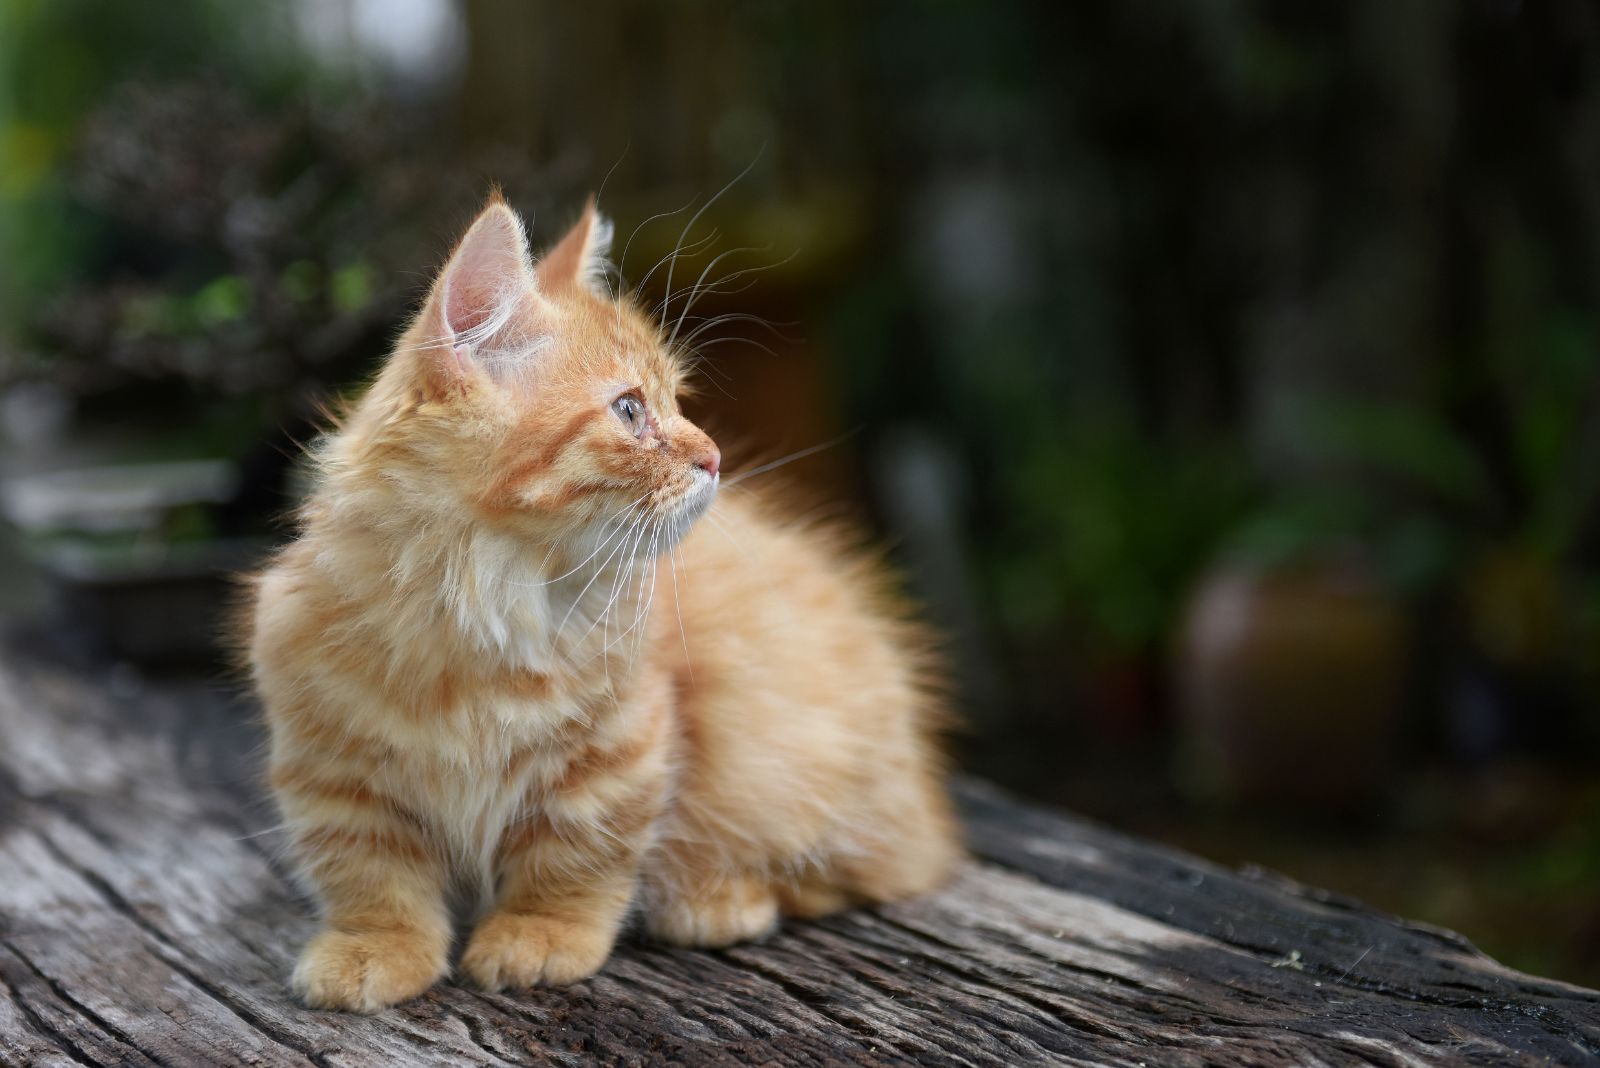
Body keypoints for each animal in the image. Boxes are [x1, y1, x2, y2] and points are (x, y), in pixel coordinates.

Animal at [243, 191, 953, 1010]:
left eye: (677, 402)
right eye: (629, 410)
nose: (714, 457)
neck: (483, 605)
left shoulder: (619, 748)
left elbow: (576, 854)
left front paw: (540, 933)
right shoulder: (330, 765)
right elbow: (370, 873)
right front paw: (375, 947)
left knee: (865, 870)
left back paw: (715, 897)